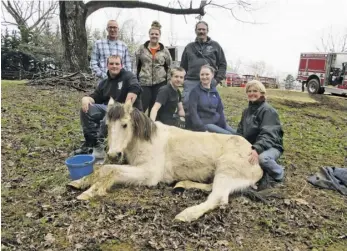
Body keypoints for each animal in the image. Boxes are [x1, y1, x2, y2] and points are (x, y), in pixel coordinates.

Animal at [68, 98, 264, 222]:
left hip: (225, 171)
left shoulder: (149, 175)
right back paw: (182, 185)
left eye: (124, 124)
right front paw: (79, 182)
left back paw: (185, 215)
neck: (147, 140)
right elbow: (104, 169)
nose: (113, 154)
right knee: (211, 188)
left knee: (218, 198)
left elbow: (112, 170)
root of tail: (255, 157)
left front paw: (90, 192)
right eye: (108, 126)